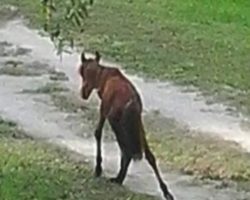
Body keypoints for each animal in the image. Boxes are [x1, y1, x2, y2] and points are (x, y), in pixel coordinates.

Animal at [78, 50, 174, 199]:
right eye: (82, 73)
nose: (84, 93)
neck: (104, 78)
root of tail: (132, 102)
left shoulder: (104, 109)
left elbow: (98, 133)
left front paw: (98, 169)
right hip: (138, 124)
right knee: (148, 154)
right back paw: (165, 191)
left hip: (116, 121)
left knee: (126, 150)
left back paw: (119, 178)